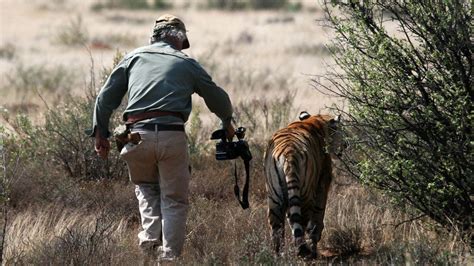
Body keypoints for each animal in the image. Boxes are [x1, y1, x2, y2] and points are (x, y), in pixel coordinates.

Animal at [264, 111, 342, 258]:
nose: (346, 145)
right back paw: (305, 253)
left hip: (274, 197)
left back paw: (278, 256)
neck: (315, 120)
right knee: (303, 222)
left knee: (276, 229)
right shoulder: (323, 184)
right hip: (305, 195)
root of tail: (288, 153)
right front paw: (314, 245)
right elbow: (318, 217)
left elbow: (290, 219)